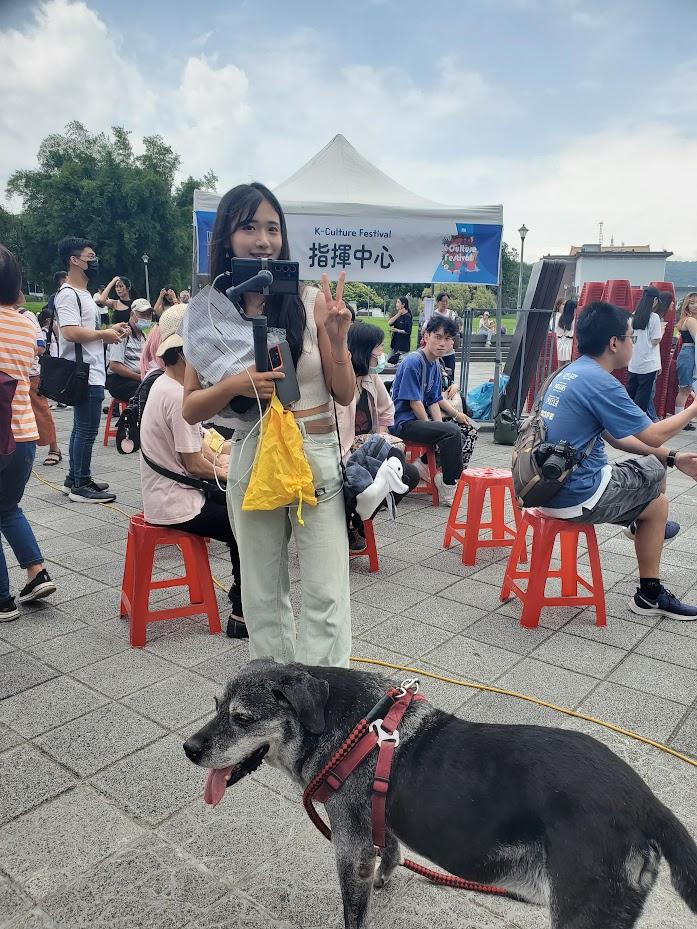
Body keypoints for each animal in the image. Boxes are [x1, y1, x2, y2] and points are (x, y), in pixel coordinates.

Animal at [184, 660, 696, 928]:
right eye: (214, 706)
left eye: (242, 718)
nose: (188, 748)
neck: (355, 728)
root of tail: (648, 803)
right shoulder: (378, 824)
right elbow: (389, 852)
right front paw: (387, 877)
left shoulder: (349, 850)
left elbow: (354, 910)